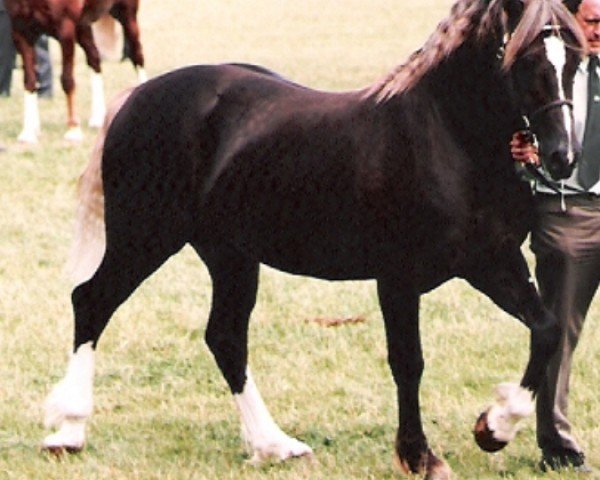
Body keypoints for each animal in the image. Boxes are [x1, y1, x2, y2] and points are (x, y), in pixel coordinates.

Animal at [5, 0, 145, 142]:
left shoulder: (65, 29)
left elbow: (67, 80)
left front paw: (73, 130)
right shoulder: (21, 33)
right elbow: (29, 81)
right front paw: (28, 132)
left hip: (126, 15)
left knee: (137, 56)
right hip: (82, 27)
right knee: (94, 58)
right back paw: (98, 117)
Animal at [42, 0, 584, 478]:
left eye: (577, 58)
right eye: (523, 57)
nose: (563, 157)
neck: (445, 138)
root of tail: (136, 99)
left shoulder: (493, 262)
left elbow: (548, 330)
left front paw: (494, 428)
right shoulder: (398, 279)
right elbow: (408, 363)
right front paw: (420, 456)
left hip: (230, 255)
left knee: (225, 338)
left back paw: (274, 445)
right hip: (145, 236)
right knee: (91, 302)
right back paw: (68, 431)